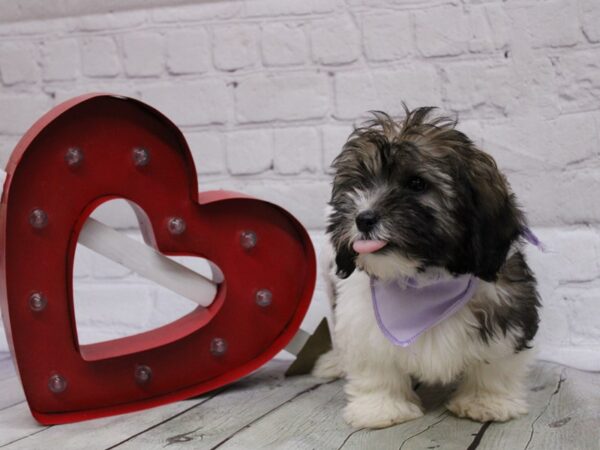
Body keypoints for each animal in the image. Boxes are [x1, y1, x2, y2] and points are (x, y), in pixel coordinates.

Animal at [312, 108, 540, 428]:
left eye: (417, 184)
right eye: (359, 184)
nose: (363, 218)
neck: (423, 279)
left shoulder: (507, 307)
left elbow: (495, 362)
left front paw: (486, 401)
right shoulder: (362, 319)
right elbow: (375, 364)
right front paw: (380, 407)